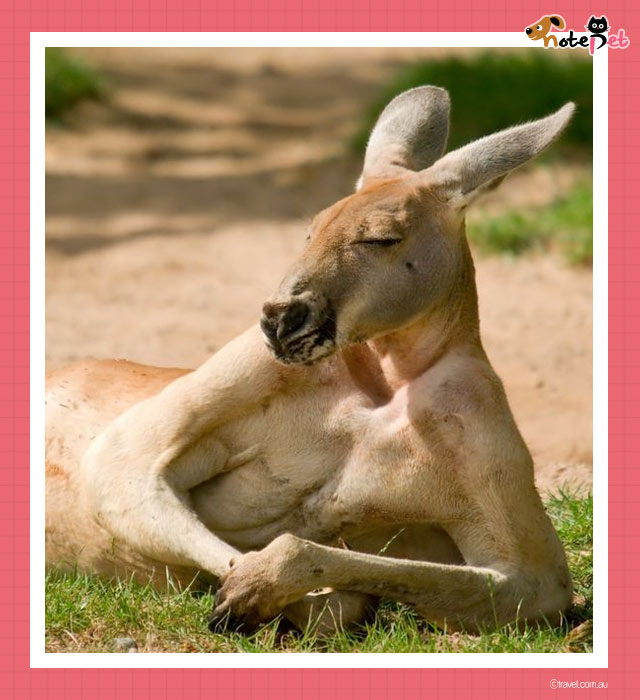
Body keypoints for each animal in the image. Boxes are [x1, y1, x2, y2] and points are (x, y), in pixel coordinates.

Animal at [45, 87, 575, 636]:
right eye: (310, 230)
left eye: (382, 239)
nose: (279, 319)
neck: (387, 381)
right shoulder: (244, 369)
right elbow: (124, 462)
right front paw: (254, 589)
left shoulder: (476, 423)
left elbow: (531, 586)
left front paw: (258, 589)